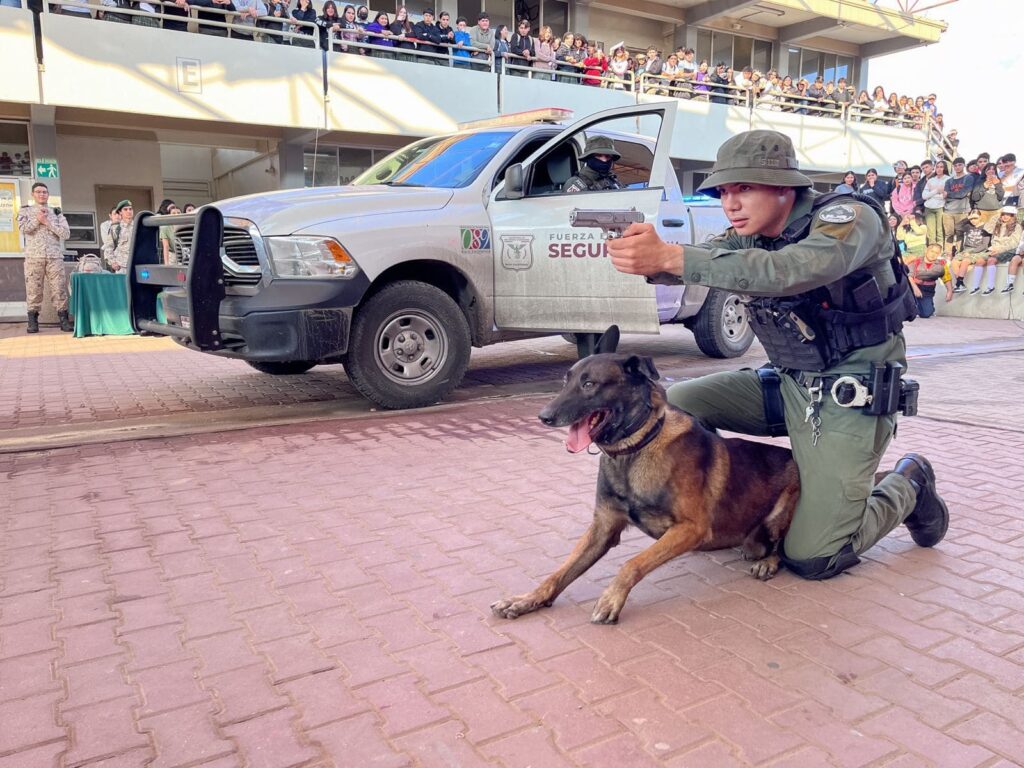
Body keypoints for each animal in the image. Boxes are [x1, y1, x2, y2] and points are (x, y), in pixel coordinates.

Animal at [491, 329, 802, 626]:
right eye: (564, 382)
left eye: (589, 385)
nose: (544, 417)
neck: (635, 449)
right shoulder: (603, 528)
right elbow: (559, 572)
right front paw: (527, 599)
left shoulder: (691, 528)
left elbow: (632, 563)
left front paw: (610, 599)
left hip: (780, 516)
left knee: (782, 547)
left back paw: (769, 562)